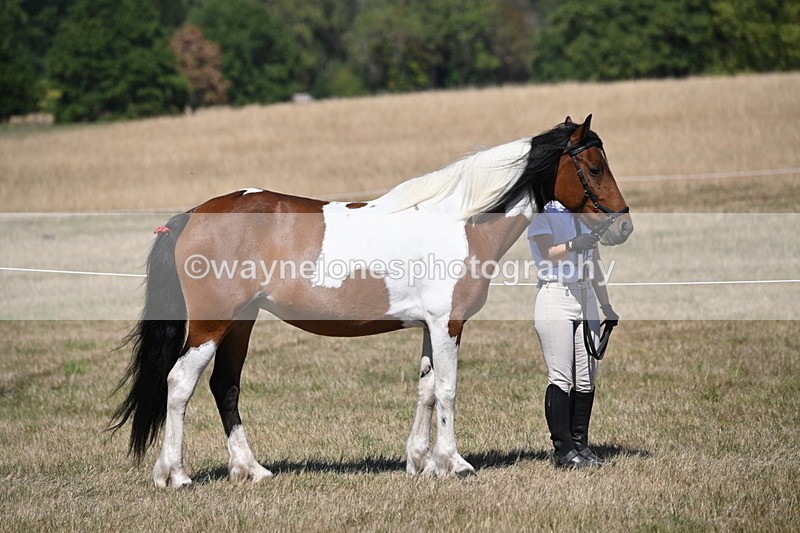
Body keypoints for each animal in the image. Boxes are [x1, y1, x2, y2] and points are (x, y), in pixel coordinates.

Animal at [111, 115, 633, 488]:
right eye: (593, 167)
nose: (623, 225)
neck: (460, 220)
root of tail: (191, 215)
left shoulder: (429, 326)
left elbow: (425, 390)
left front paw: (421, 463)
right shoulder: (448, 322)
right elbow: (447, 390)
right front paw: (455, 463)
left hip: (241, 321)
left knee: (226, 387)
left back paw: (252, 470)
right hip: (211, 324)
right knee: (180, 384)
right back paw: (175, 475)